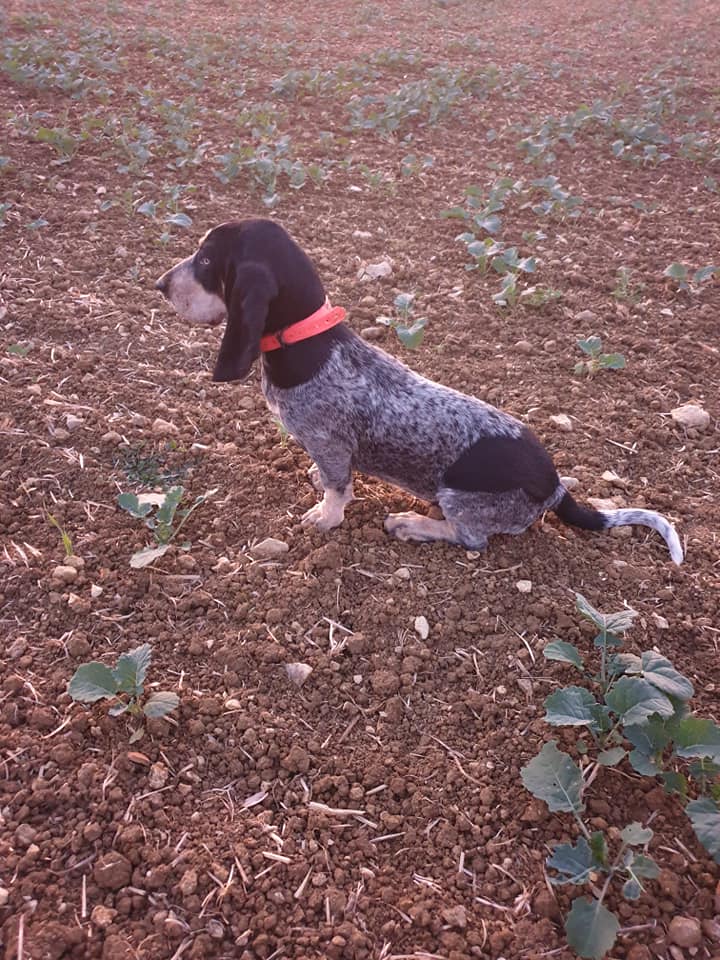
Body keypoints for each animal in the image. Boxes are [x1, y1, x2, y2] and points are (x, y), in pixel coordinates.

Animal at [155, 218, 684, 564]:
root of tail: (554, 487)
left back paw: (411, 524)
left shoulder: (330, 442)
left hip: (458, 497)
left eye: (206, 259)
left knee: (472, 539)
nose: (159, 284)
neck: (310, 341)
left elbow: (336, 491)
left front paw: (324, 518)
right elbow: (330, 477)